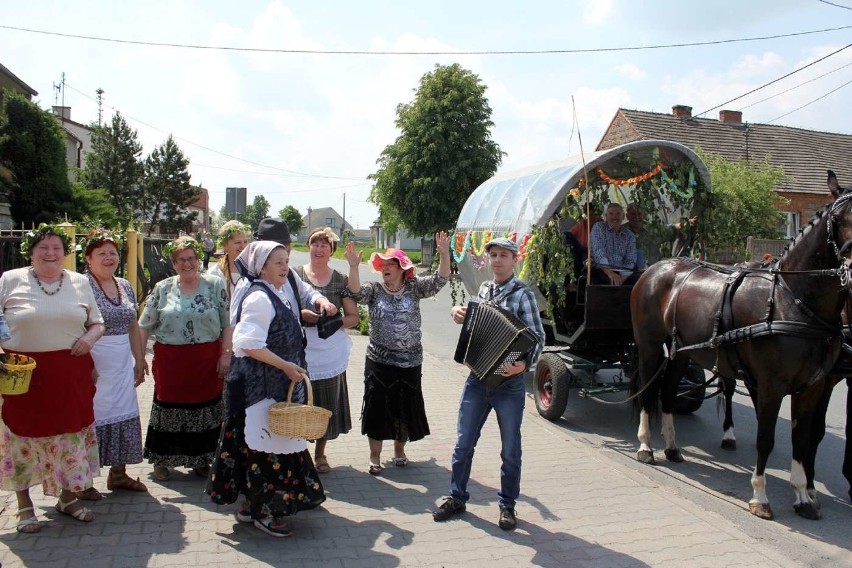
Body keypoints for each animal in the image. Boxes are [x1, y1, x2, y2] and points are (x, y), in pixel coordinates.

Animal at [628, 170, 852, 520]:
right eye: (839, 219)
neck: (792, 301)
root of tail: (655, 268)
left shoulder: (814, 386)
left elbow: (803, 439)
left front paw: (804, 496)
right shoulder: (772, 385)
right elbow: (766, 439)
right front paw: (760, 496)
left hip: (681, 353)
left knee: (667, 391)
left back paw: (672, 448)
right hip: (650, 346)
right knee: (647, 391)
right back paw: (645, 447)